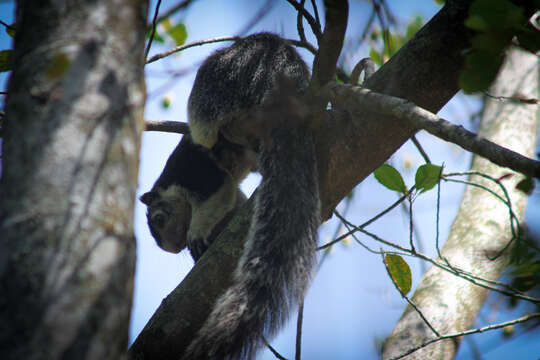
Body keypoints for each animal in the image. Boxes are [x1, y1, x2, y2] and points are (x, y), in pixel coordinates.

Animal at [141, 32, 322, 358]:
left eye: (158, 219)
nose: (172, 247)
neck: (171, 184)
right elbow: (232, 201)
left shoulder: (197, 173)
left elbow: (215, 196)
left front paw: (196, 235)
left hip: (215, 91)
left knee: (208, 128)